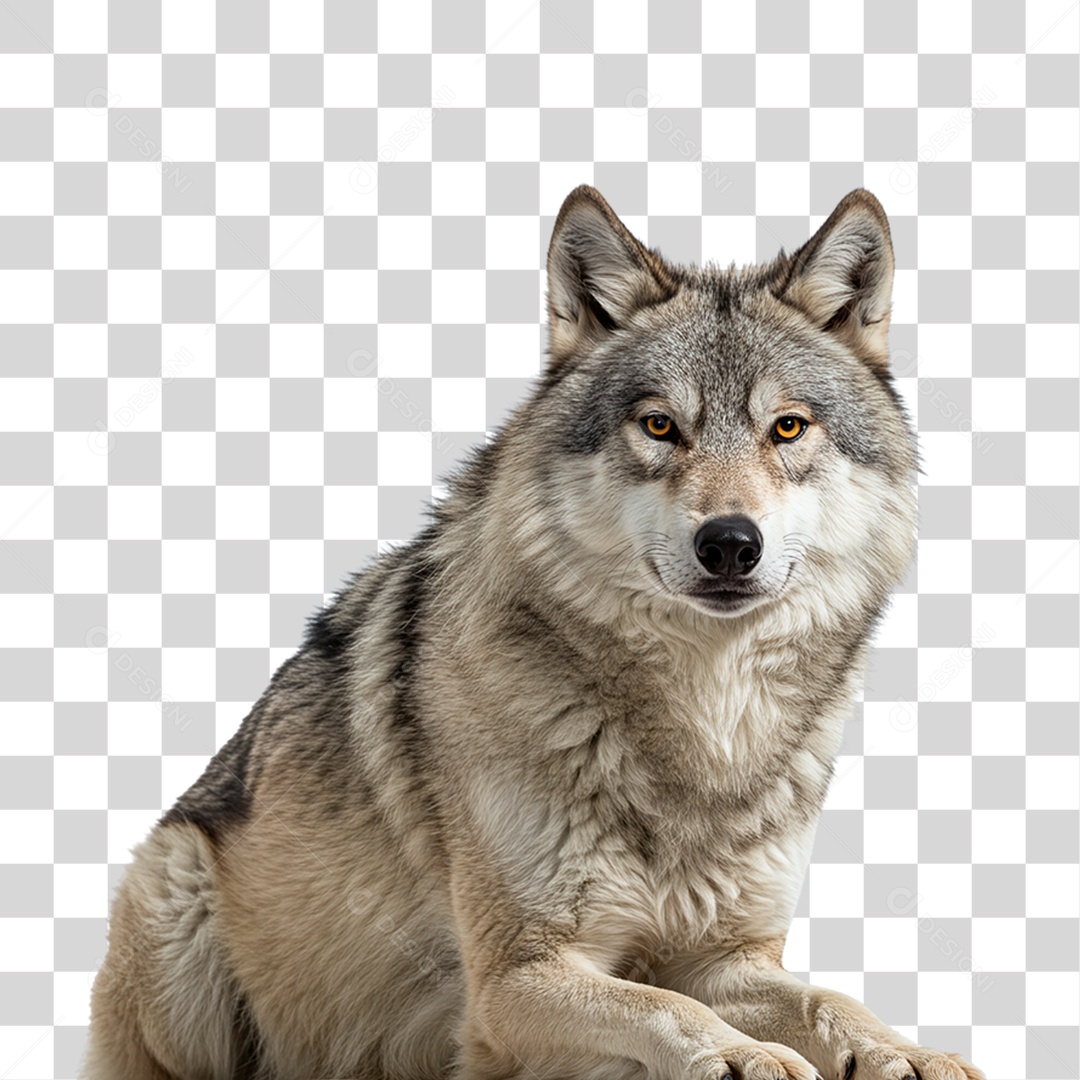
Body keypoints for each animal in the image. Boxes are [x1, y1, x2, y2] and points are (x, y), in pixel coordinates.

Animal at [83, 185, 984, 1080]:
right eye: (660, 426)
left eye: (788, 428)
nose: (730, 542)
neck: (702, 727)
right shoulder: (514, 979)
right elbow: (666, 1007)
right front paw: (740, 1056)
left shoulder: (730, 956)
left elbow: (829, 999)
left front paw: (903, 1052)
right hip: (178, 901)